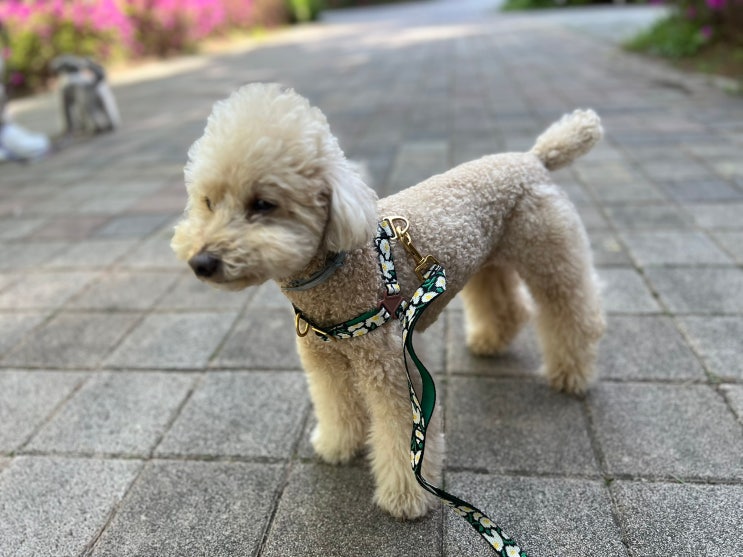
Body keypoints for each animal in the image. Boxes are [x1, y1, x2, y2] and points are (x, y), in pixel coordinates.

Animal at [171, 83, 605, 520]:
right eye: (208, 202)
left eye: (263, 204)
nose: (201, 262)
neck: (336, 271)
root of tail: (535, 157)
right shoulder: (326, 362)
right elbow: (337, 404)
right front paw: (336, 445)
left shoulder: (393, 366)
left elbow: (402, 435)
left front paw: (405, 497)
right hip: (486, 259)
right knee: (508, 304)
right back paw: (490, 341)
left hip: (548, 254)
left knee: (572, 310)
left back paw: (570, 375)